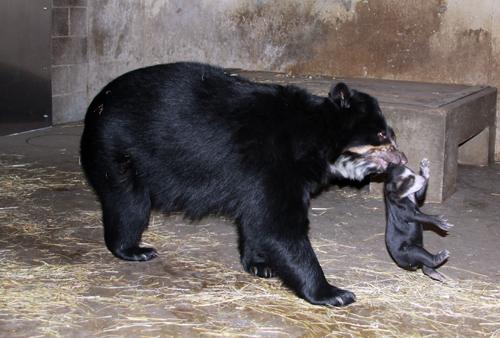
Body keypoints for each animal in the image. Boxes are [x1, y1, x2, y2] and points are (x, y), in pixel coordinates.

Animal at [79, 61, 406, 306]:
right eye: (381, 136)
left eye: (391, 135)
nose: (402, 159)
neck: (314, 135)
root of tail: (96, 105)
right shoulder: (273, 163)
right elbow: (278, 226)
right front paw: (334, 293)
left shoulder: (261, 177)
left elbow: (256, 220)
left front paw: (260, 265)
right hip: (119, 153)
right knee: (128, 205)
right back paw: (133, 249)